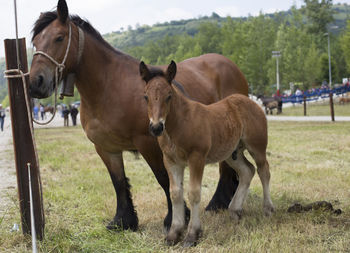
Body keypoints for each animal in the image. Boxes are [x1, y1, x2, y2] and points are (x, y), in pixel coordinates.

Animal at [28, 0, 250, 231]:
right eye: (35, 41)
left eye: (59, 37)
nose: (36, 82)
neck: (109, 86)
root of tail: (230, 65)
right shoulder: (106, 148)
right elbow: (118, 182)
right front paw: (123, 221)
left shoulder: (149, 143)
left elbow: (163, 178)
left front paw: (174, 219)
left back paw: (217, 203)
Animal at [139, 61, 274, 247]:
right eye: (146, 96)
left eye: (169, 96)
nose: (156, 127)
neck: (179, 124)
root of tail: (253, 102)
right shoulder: (171, 161)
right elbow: (176, 193)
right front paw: (173, 234)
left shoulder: (197, 157)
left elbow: (194, 193)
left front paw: (192, 235)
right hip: (231, 152)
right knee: (248, 171)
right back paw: (235, 210)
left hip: (257, 146)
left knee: (263, 170)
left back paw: (268, 209)